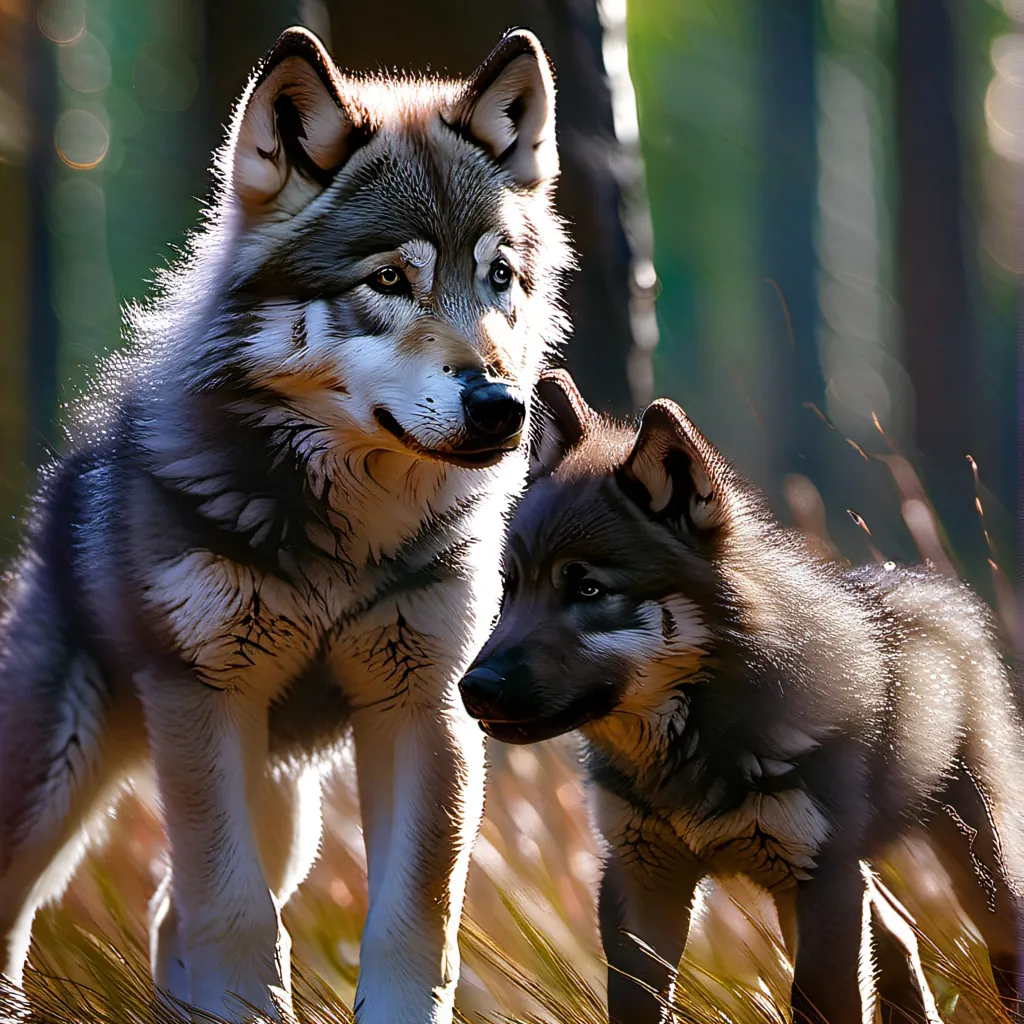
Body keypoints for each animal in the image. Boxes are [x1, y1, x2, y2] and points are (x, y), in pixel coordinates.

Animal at [0, 26, 570, 1023]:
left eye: (500, 277)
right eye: (390, 279)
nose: (501, 406)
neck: (346, 532)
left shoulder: (426, 708)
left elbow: (413, 926)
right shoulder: (204, 702)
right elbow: (235, 923)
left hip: (283, 813)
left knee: (167, 912)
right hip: (62, 778)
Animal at [460, 370, 1024, 1024]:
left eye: (587, 589)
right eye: (507, 589)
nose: (474, 689)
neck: (690, 745)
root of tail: (941, 589)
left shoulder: (818, 883)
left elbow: (822, 1001)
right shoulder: (639, 879)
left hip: (979, 870)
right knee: (901, 931)